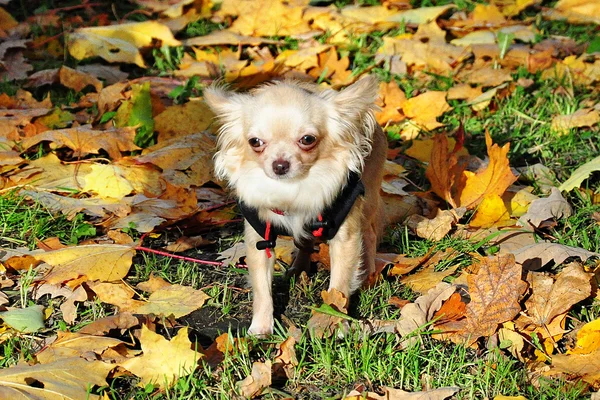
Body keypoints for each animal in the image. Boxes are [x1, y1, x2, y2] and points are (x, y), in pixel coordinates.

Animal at [204, 76, 386, 334]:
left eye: (307, 140)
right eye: (255, 142)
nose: (280, 165)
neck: (293, 191)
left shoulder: (345, 238)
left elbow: (339, 285)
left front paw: (335, 322)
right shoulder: (259, 239)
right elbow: (262, 288)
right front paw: (261, 327)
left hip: (367, 199)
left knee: (369, 234)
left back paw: (369, 275)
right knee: (305, 242)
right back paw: (298, 269)